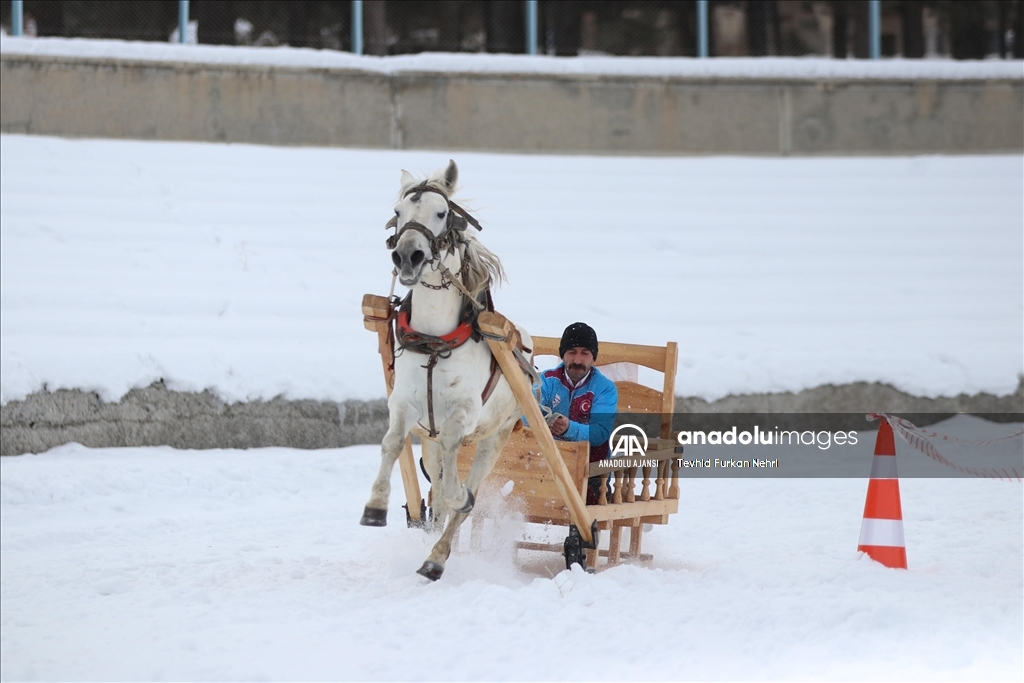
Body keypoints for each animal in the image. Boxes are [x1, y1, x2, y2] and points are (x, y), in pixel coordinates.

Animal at [360, 160, 532, 581]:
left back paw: (436, 557)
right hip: (430, 444)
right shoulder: (404, 404)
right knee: (437, 496)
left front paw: (459, 496)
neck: (434, 340)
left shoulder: (465, 413)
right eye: (398, 212)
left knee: (465, 497)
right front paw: (374, 506)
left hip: (496, 437)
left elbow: (459, 477)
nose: (407, 256)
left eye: (441, 213)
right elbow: (391, 442)